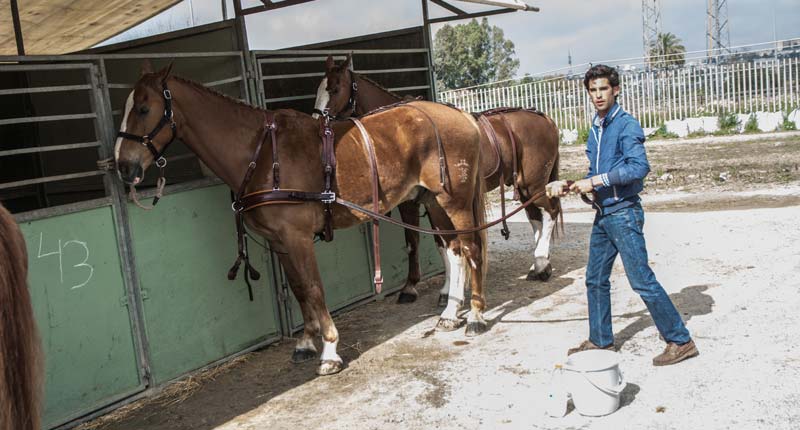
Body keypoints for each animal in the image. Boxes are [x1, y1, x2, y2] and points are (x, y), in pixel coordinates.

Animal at [112, 63, 488, 376]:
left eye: (143, 108)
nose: (123, 167)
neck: (261, 154)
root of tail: (460, 115)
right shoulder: (279, 241)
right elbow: (297, 288)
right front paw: (306, 342)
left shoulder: (297, 237)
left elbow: (313, 288)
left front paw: (330, 350)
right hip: (434, 202)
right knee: (453, 250)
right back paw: (450, 314)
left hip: (452, 202)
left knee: (469, 249)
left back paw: (475, 316)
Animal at [314, 54, 564, 306]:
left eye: (334, 89)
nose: (318, 121)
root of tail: (546, 119)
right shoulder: (431, 203)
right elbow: (441, 244)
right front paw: (447, 290)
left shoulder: (411, 204)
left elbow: (414, 242)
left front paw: (411, 287)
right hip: (524, 186)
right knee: (536, 218)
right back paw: (539, 265)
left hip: (534, 184)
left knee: (550, 212)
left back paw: (541, 262)